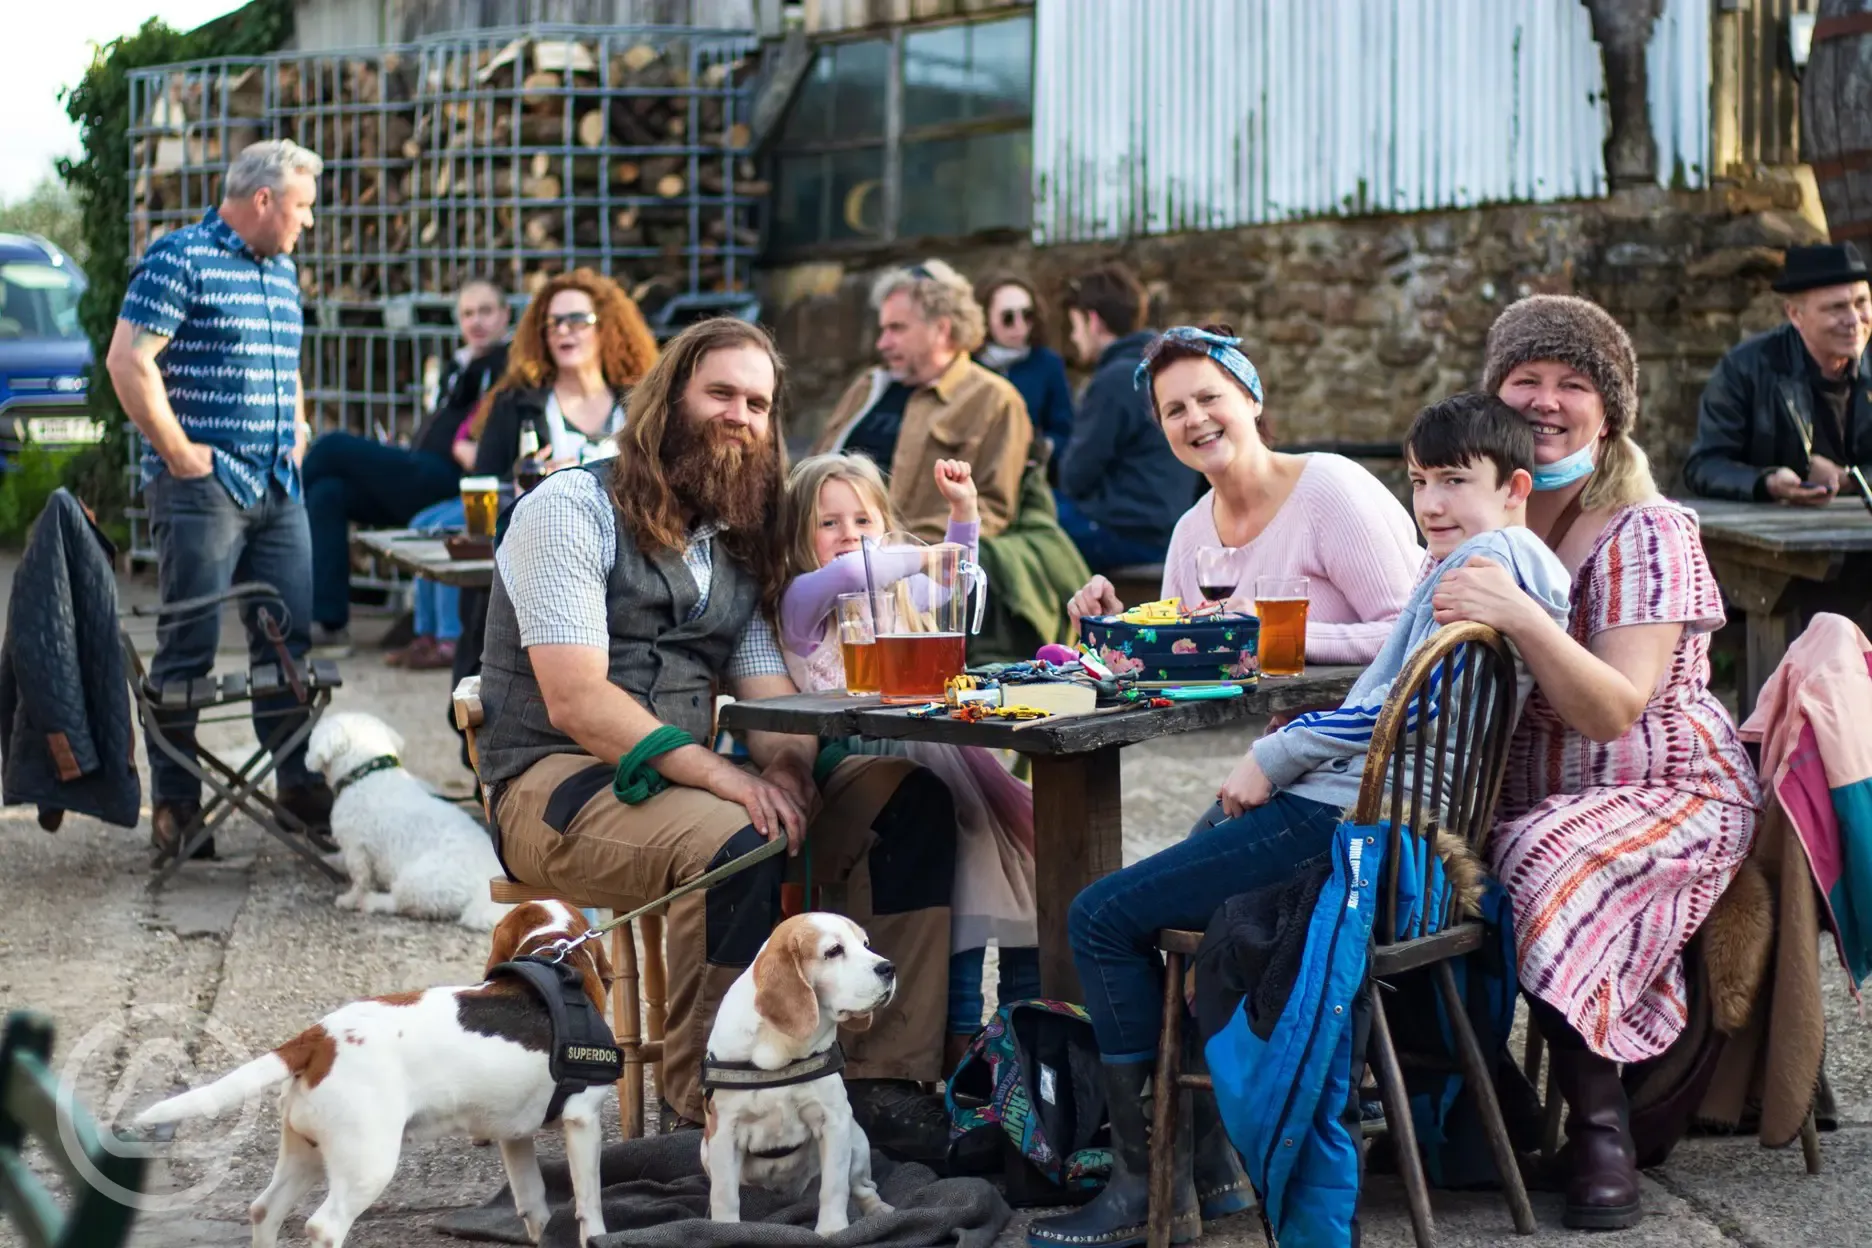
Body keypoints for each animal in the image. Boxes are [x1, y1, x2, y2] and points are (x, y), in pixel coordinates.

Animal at [140, 901, 621, 1242]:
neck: (555, 953)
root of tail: (320, 1036)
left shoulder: (513, 1135)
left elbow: (533, 1203)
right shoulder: (583, 1121)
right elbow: (590, 1203)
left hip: (309, 1151)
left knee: (264, 1209)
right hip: (368, 1164)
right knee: (323, 1226)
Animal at [307, 707, 512, 931]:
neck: (368, 772)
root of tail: (486, 886)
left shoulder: (357, 849)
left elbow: (360, 880)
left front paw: (350, 899)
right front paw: (333, 860)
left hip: (417, 881)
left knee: (400, 903)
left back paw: (372, 901)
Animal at [703, 913, 902, 1234]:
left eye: (866, 944)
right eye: (834, 950)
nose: (889, 967)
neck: (780, 1047)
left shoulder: (834, 1120)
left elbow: (834, 1187)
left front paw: (833, 1230)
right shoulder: (724, 1132)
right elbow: (725, 1196)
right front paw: (724, 1230)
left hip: (857, 1140)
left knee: (861, 1187)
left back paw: (877, 1210)